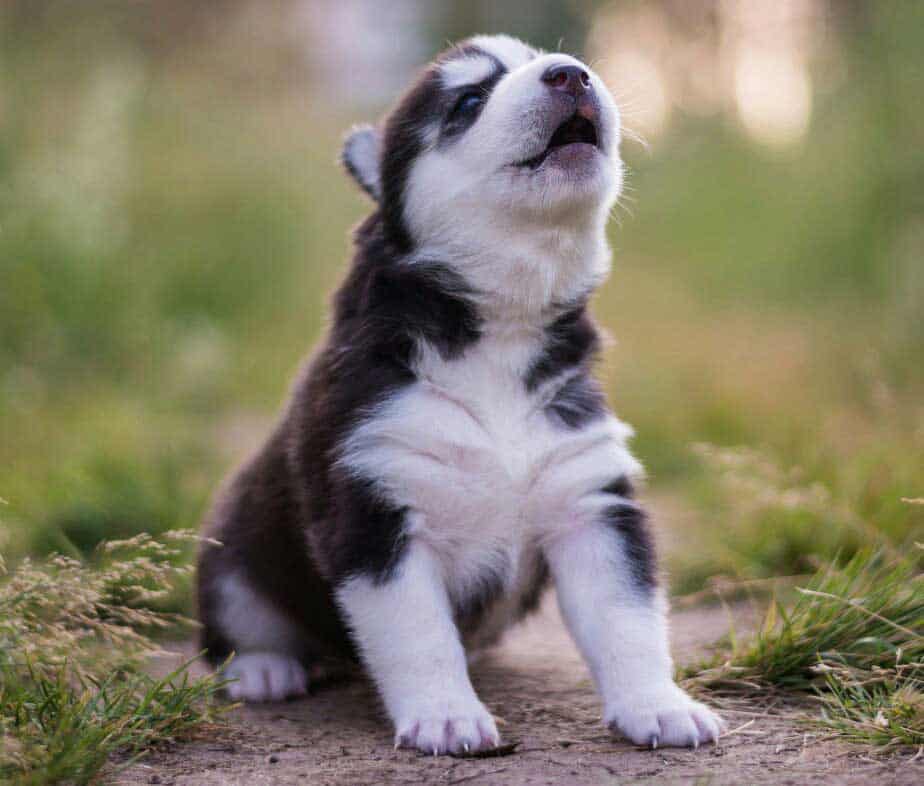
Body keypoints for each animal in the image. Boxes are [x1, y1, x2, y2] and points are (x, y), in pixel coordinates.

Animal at [199, 33, 724, 752]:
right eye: (469, 100)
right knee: (235, 626)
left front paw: (659, 704)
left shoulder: (592, 501)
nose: (572, 74)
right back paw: (262, 668)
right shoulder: (374, 514)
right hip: (230, 552)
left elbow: (630, 620)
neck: (501, 330)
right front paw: (446, 715)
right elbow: (420, 636)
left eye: (556, 64)